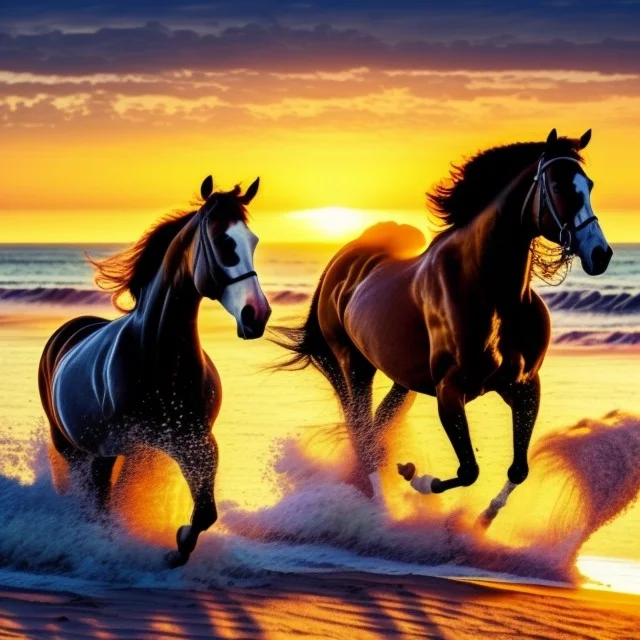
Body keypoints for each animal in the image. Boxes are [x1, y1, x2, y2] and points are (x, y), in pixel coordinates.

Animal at [38, 175, 271, 566]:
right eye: (224, 241)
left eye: (252, 241)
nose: (257, 314)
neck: (162, 362)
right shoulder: (111, 450)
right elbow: (105, 509)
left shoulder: (196, 444)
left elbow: (205, 512)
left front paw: (176, 549)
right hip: (71, 447)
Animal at [272, 129, 612, 526]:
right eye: (558, 186)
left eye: (589, 185)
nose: (601, 254)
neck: (490, 293)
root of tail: (344, 260)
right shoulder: (450, 391)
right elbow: (468, 471)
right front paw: (416, 479)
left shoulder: (523, 387)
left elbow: (518, 469)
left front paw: (485, 518)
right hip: (353, 366)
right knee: (362, 434)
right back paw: (379, 508)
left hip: (401, 380)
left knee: (377, 426)